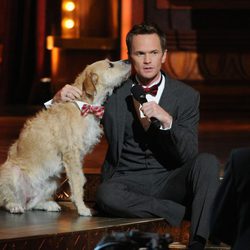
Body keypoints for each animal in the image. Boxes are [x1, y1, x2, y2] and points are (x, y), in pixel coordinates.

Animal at [0, 59, 131, 216]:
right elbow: (78, 181)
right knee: (8, 200)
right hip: (12, 173)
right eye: (110, 65)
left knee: (31, 204)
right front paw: (82, 208)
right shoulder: (71, 154)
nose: (128, 60)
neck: (85, 105)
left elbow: (79, 179)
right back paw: (14, 205)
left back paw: (48, 205)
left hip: (52, 182)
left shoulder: (77, 158)